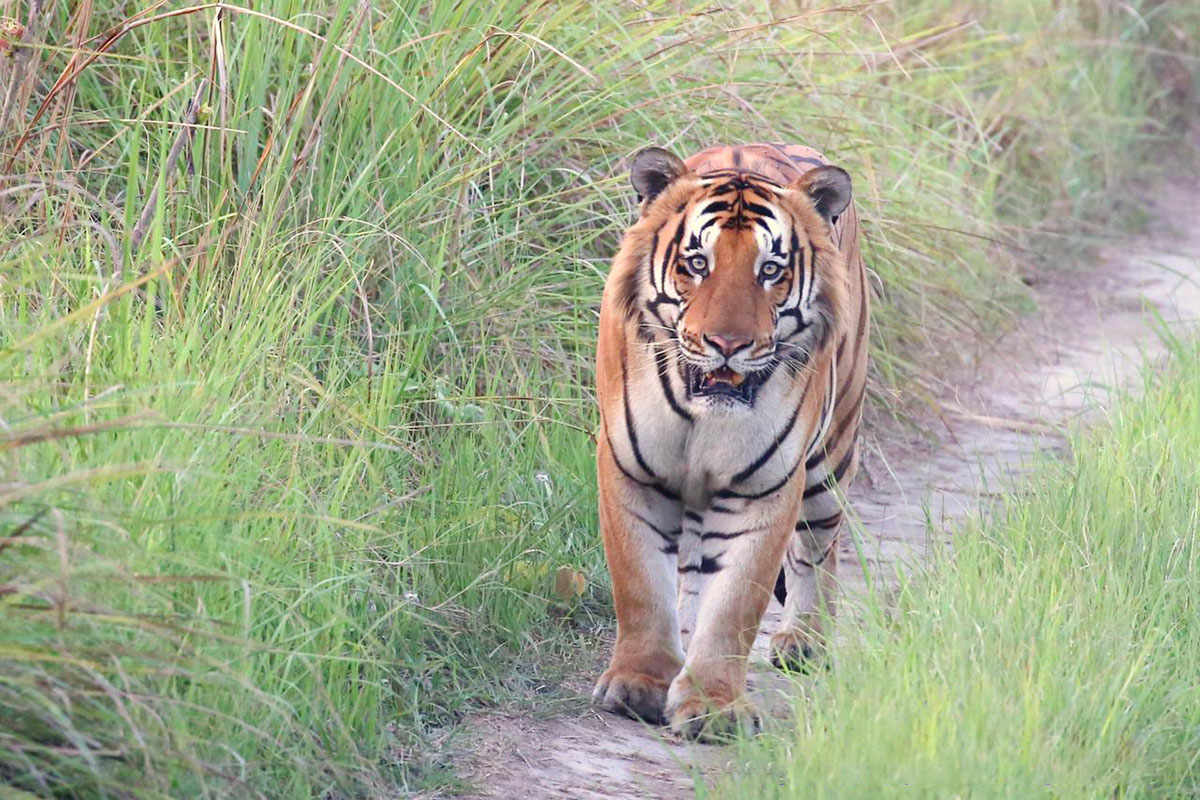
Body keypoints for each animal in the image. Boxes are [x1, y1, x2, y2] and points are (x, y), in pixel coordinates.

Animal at [591, 142, 869, 740]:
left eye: (770, 271)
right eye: (698, 263)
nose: (726, 343)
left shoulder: (764, 488)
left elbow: (737, 601)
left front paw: (712, 705)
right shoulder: (631, 471)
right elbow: (641, 587)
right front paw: (638, 684)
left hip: (830, 458)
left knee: (820, 548)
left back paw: (804, 641)